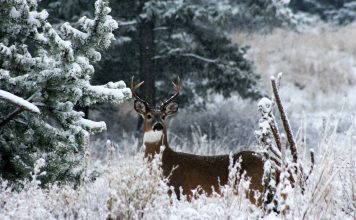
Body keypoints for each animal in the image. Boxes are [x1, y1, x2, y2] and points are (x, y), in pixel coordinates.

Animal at [132, 77, 266, 205]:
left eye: (164, 116)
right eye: (148, 115)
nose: (158, 126)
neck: (167, 160)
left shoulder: (181, 190)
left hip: (254, 189)